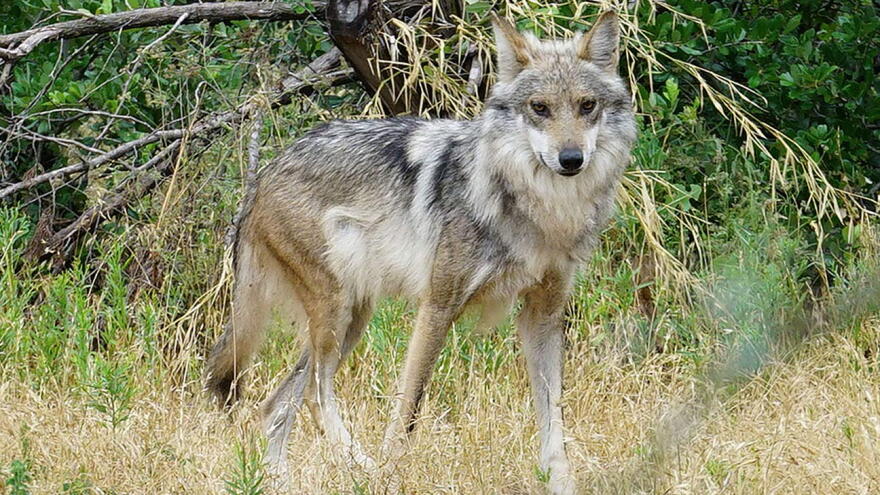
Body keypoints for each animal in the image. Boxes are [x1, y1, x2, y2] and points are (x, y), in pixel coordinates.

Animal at [205, 11, 636, 494]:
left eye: (586, 106)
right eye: (539, 108)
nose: (571, 159)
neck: (541, 209)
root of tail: (264, 173)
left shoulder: (542, 314)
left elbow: (553, 418)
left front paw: (561, 483)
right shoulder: (438, 304)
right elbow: (409, 407)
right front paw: (393, 472)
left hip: (352, 318)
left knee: (276, 404)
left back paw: (284, 480)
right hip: (337, 314)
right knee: (315, 395)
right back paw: (364, 467)